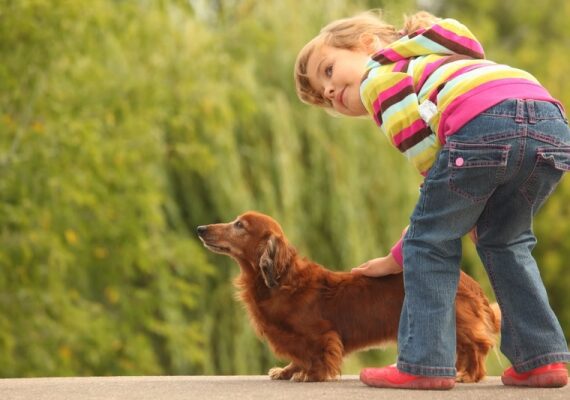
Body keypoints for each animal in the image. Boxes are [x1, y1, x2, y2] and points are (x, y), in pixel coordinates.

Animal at [197, 211, 500, 382]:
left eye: (239, 225)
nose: (201, 229)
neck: (282, 281)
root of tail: (470, 281)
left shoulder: (321, 334)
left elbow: (318, 355)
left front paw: (311, 375)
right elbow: (299, 355)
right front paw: (287, 371)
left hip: (457, 319)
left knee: (476, 346)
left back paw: (468, 375)